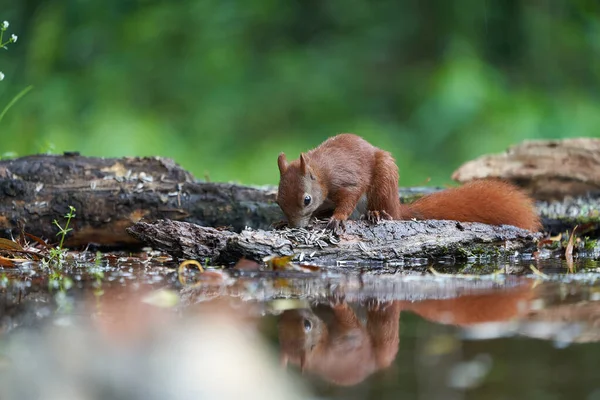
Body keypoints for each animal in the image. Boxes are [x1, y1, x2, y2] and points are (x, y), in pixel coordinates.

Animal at [278, 134, 540, 231]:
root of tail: (397, 206)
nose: (295, 226)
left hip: (384, 180)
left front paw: (338, 218)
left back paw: (376, 214)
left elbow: (350, 197)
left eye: (306, 200)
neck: (321, 172)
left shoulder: (347, 180)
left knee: (387, 212)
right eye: (279, 201)